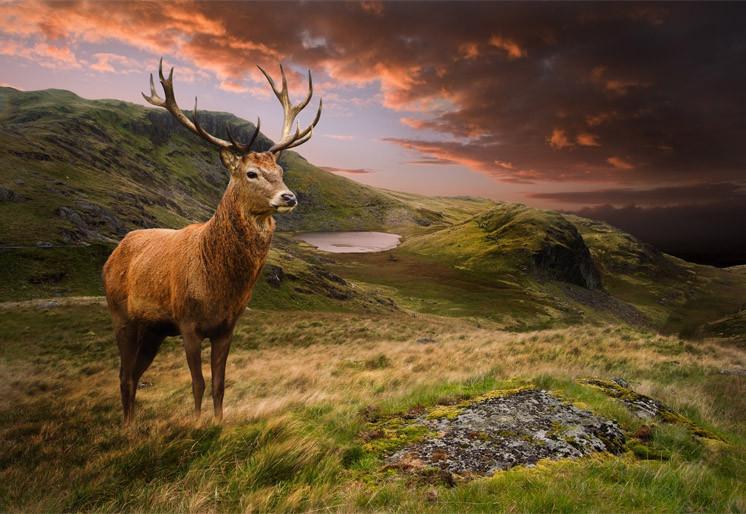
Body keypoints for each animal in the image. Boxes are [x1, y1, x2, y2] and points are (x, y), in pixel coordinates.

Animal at [103, 59, 321, 424]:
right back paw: (127, 426)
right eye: (251, 173)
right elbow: (198, 383)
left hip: (153, 330)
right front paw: (197, 423)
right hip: (122, 315)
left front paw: (219, 423)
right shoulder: (187, 322)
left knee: (133, 373)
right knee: (123, 374)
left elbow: (220, 382)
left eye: (279, 170)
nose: (289, 197)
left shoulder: (227, 327)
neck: (218, 286)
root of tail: (111, 256)